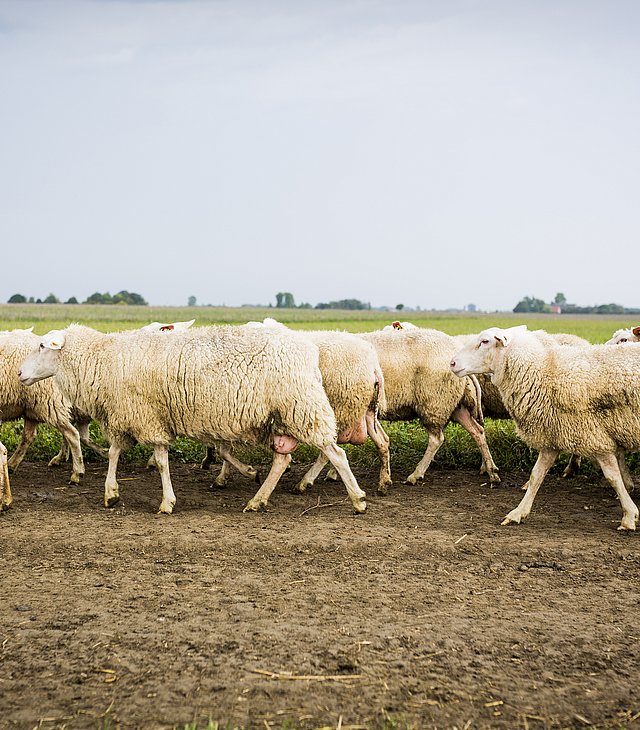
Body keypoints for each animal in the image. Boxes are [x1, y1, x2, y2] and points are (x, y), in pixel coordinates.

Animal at [17, 322, 368, 516]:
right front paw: (111, 493)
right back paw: (257, 500)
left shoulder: (146, 417)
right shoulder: (131, 416)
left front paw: (165, 502)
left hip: (302, 408)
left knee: (336, 453)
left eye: (41, 345)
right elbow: (116, 453)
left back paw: (358, 500)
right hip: (281, 417)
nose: (19, 374)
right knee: (283, 459)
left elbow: (159, 462)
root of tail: (308, 350)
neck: (103, 360)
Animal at [356, 324, 500, 484]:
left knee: (436, 439)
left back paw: (416, 474)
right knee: (477, 431)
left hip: (434, 401)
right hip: (454, 404)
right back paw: (492, 472)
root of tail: (455, 349)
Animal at [448, 326, 640, 528]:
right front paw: (518, 513)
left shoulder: (595, 437)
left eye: (485, 341)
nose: (452, 363)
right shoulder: (552, 436)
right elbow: (536, 476)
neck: (544, 371)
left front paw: (629, 515)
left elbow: (613, 477)